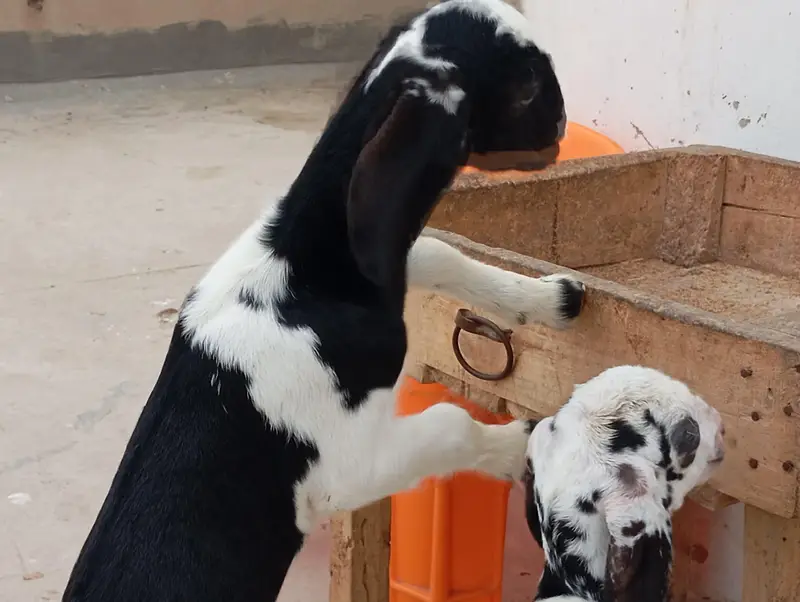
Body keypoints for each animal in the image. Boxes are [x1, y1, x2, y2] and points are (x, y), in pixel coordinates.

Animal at [62, 1, 584, 600]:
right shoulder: (346, 469)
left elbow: (435, 252)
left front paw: (547, 297)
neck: (302, 271)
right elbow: (450, 423)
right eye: (527, 84)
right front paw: (525, 442)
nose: (564, 120)